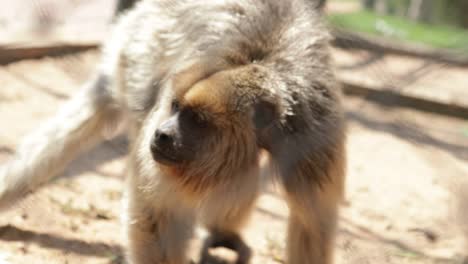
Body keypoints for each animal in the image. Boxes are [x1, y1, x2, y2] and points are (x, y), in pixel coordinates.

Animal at [0, 0, 344, 264]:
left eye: (197, 119)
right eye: (176, 107)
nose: (162, 134)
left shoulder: (313, 138)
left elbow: (312, 222)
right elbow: (156, 211)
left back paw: (224, 233)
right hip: (138, 54)